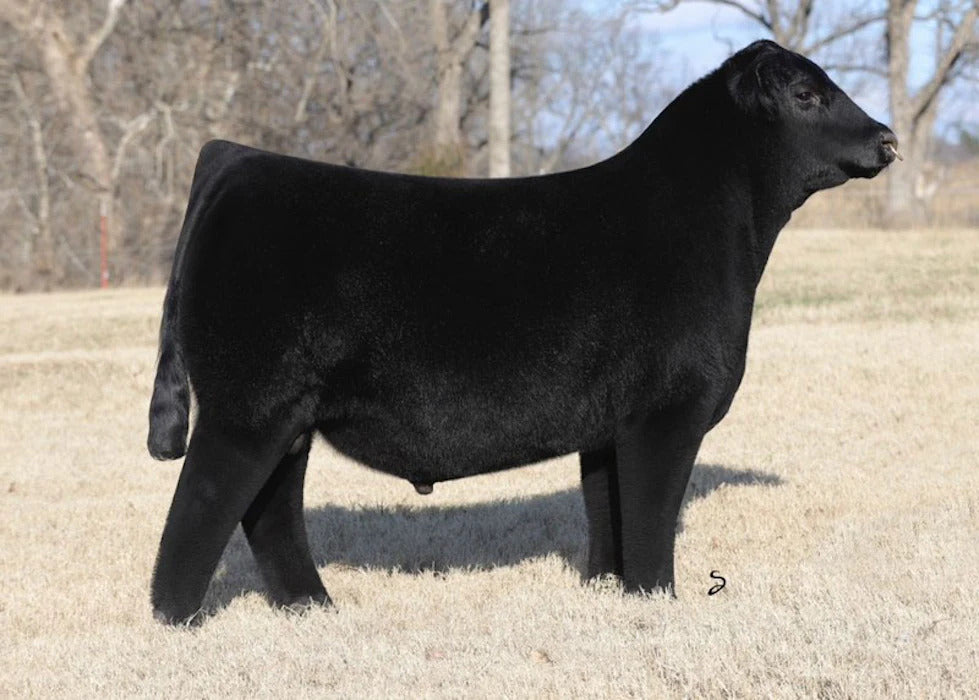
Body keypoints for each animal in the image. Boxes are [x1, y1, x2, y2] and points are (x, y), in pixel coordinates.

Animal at [147, 40, 899, 624]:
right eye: (806, 94)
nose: (886, 138)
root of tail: (238, 158)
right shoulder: (667, 410)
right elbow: (651, 516)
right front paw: (658, 602)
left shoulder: (609, 421)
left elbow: (607, 509)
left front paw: (607, 592)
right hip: (247, 407)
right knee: (204, 504)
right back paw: (176, 623)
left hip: (289, 413)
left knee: (270, 508)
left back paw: (313, 609)